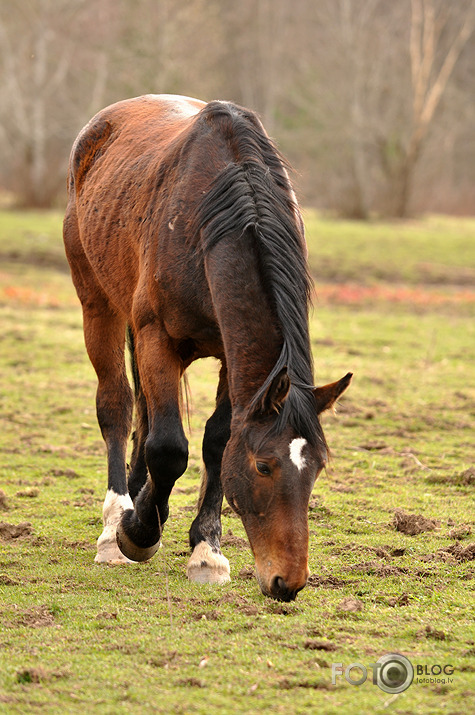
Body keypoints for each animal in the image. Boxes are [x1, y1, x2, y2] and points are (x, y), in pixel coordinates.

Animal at [63, 92, 352, 600]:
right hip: (98, 305)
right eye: (264, 466)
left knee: (143, 413)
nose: (288, 581)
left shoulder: (231, 360)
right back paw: (115, 523)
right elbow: (168, 447)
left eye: (317, 468)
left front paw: (206, 550)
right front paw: (138, 532)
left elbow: (216, 442)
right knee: (118, 406)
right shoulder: (157, 337)